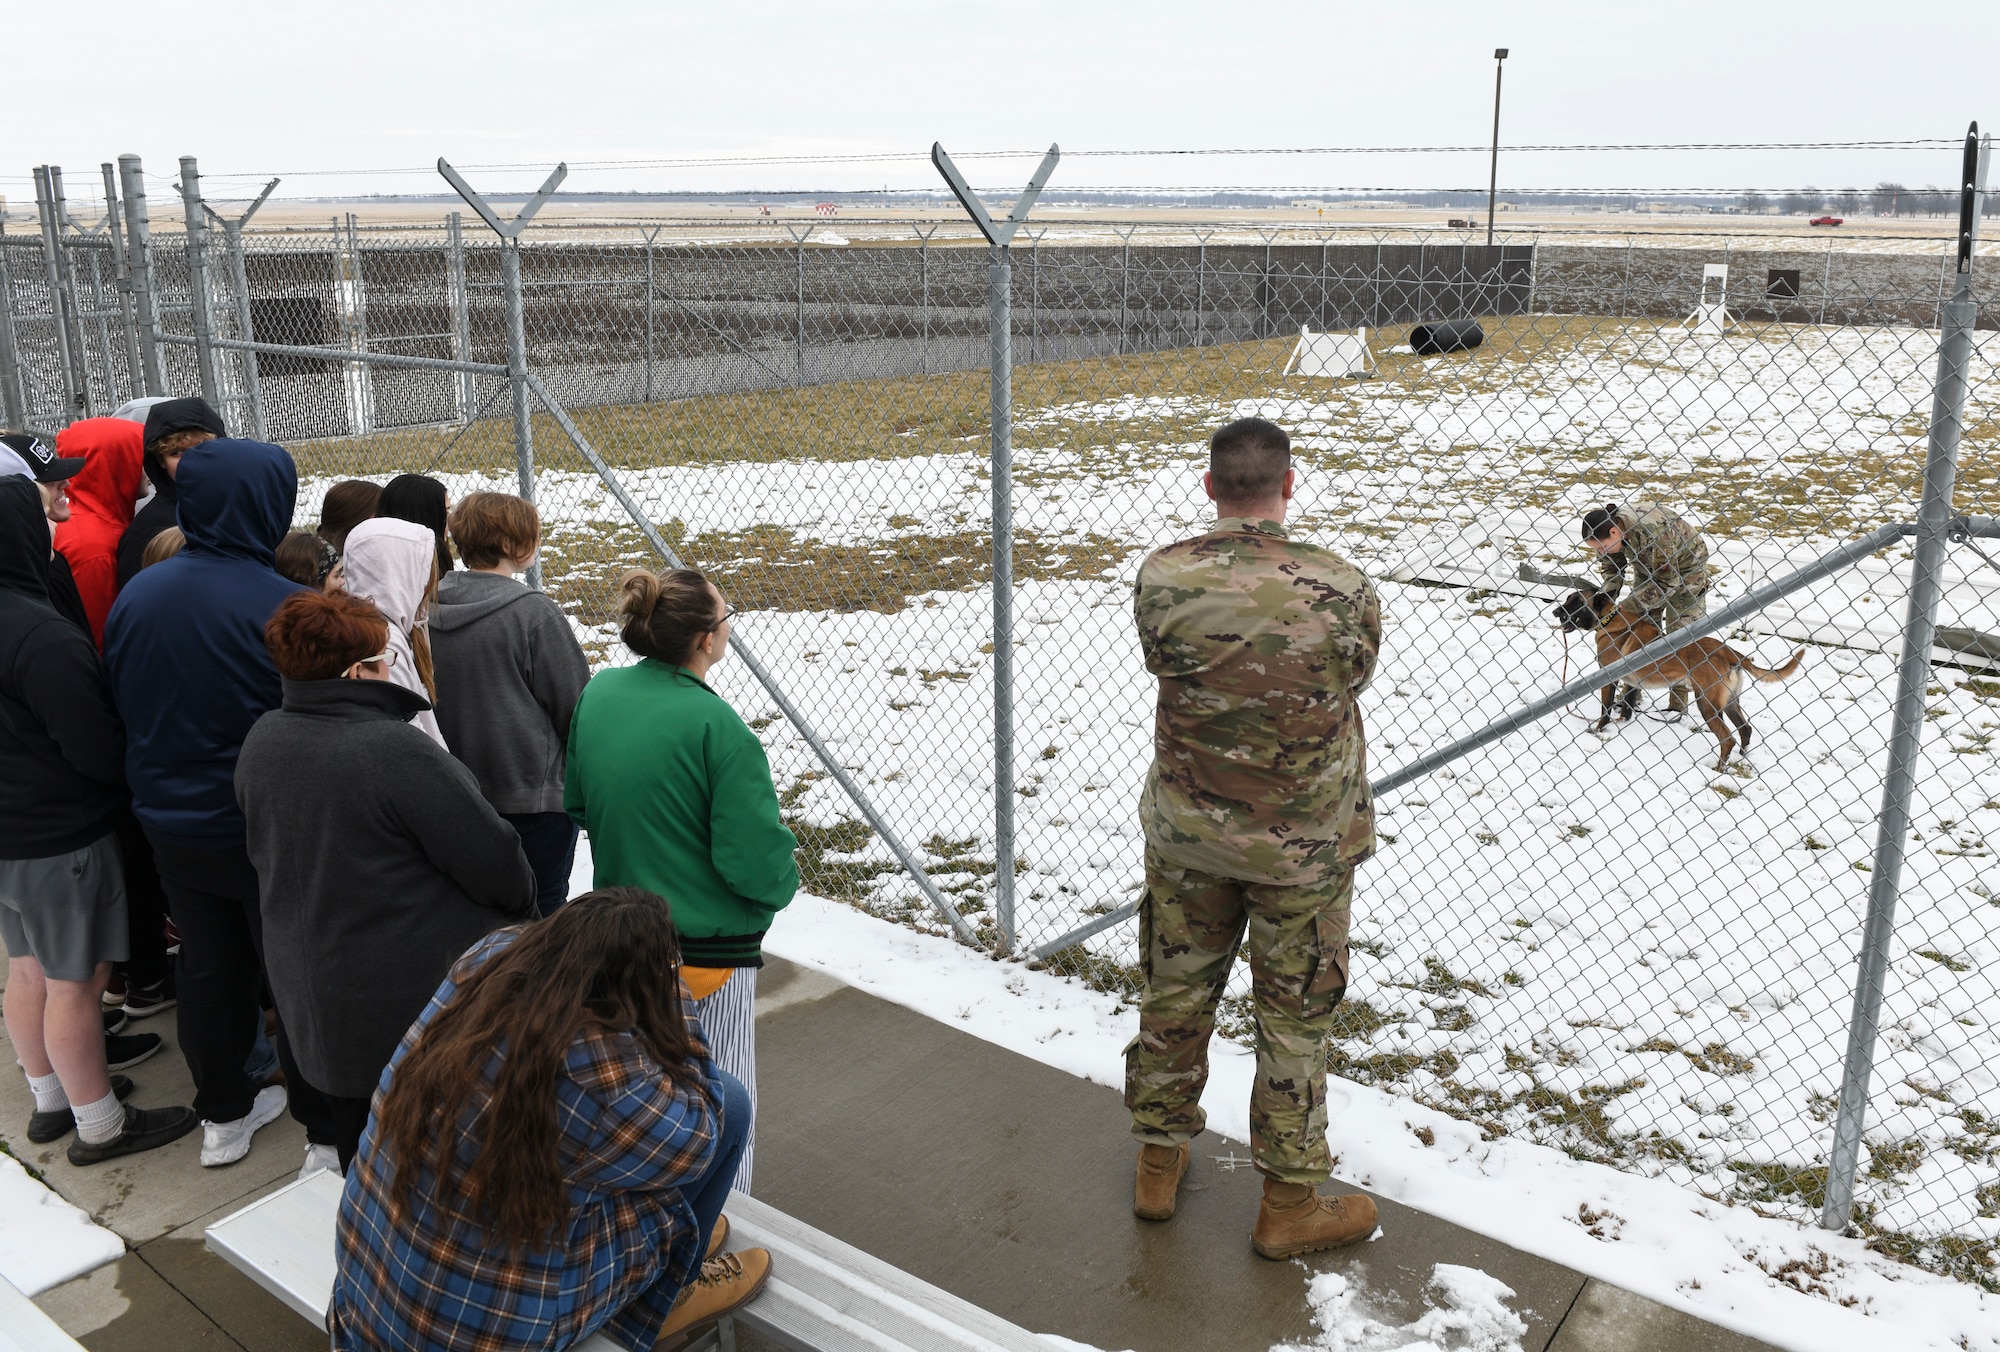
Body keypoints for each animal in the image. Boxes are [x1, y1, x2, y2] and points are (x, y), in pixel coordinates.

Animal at [1552, 592, 1808, 772]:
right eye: (1568, 598)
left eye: (1576, 601)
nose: (1554, 611)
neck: (1609, 619)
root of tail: (1730, 652)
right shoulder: (1632, 682)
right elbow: (1628, 705)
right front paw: (1623, 721)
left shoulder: (1609, 679)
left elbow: (1605, 709)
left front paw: (1598, 730)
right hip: (1729, 702)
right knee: (1745, 729)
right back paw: (1741, 758)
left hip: (1707, 704)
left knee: (1728, 739)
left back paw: (1718, 768)